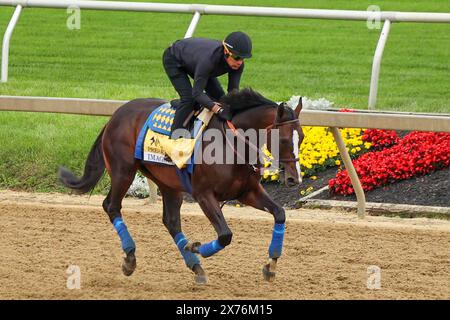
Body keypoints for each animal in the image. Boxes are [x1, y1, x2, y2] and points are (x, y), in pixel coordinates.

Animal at [59, 89, 302, 284]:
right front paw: (195, 247)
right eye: (283, 140)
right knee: (111, 206)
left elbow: (280, 214)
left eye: (301, 137)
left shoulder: (247, 192)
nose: (295, 179)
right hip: (122, 171)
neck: (232, 145)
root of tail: (116, 115)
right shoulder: (203, 194)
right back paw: (130, 258)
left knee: (171, 221)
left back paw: (195, 266)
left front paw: (270, 265)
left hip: (168, 183)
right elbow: (225, 235)